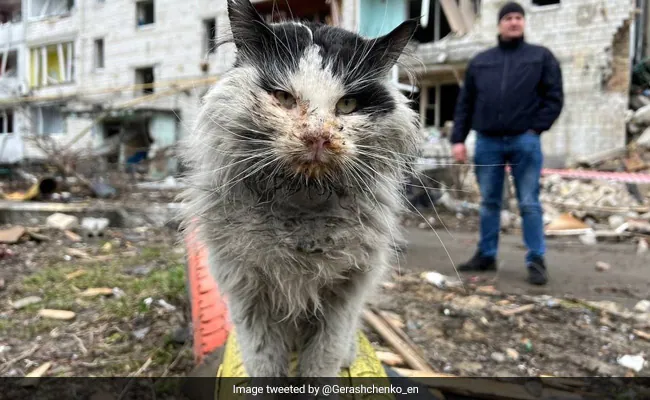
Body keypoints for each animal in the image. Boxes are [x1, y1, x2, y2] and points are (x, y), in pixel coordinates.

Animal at [178, 0, 420, 378]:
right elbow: (265, 365)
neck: (301, 209)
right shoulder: (247, 295)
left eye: (347, 105)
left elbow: (322, 363)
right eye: (282, 97)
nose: (318, 137)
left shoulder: (345, 295)